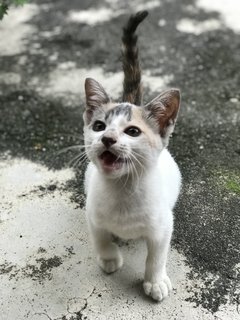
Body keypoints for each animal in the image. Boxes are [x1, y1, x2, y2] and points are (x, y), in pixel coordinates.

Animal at [82, 9, 180, 300]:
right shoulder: (92, 214)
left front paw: (155, 281)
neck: (123, 191)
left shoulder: (163, 225)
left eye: (133, 131)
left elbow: (157, 256)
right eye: (99, 126)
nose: (107, 138)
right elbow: (100, 238)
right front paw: (109, 259)